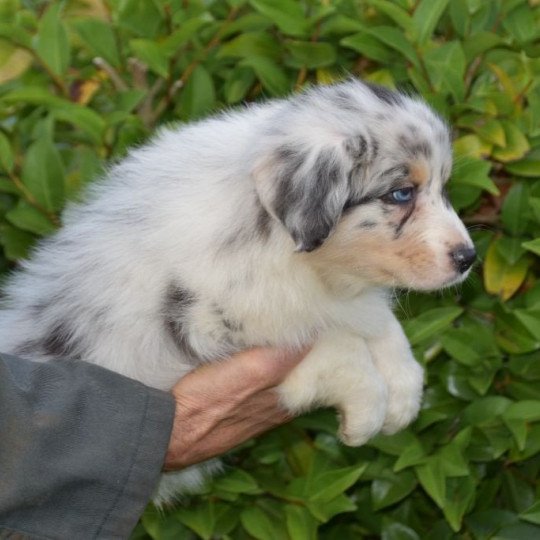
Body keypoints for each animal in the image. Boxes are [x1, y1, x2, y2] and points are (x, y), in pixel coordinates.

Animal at [0, 79, 472, 502]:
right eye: (401, 193)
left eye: (443, 188)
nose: (468, 258)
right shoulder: (209, 325)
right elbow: (335, 344)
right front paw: (368, 409)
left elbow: (383, 328)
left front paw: (405, 392)